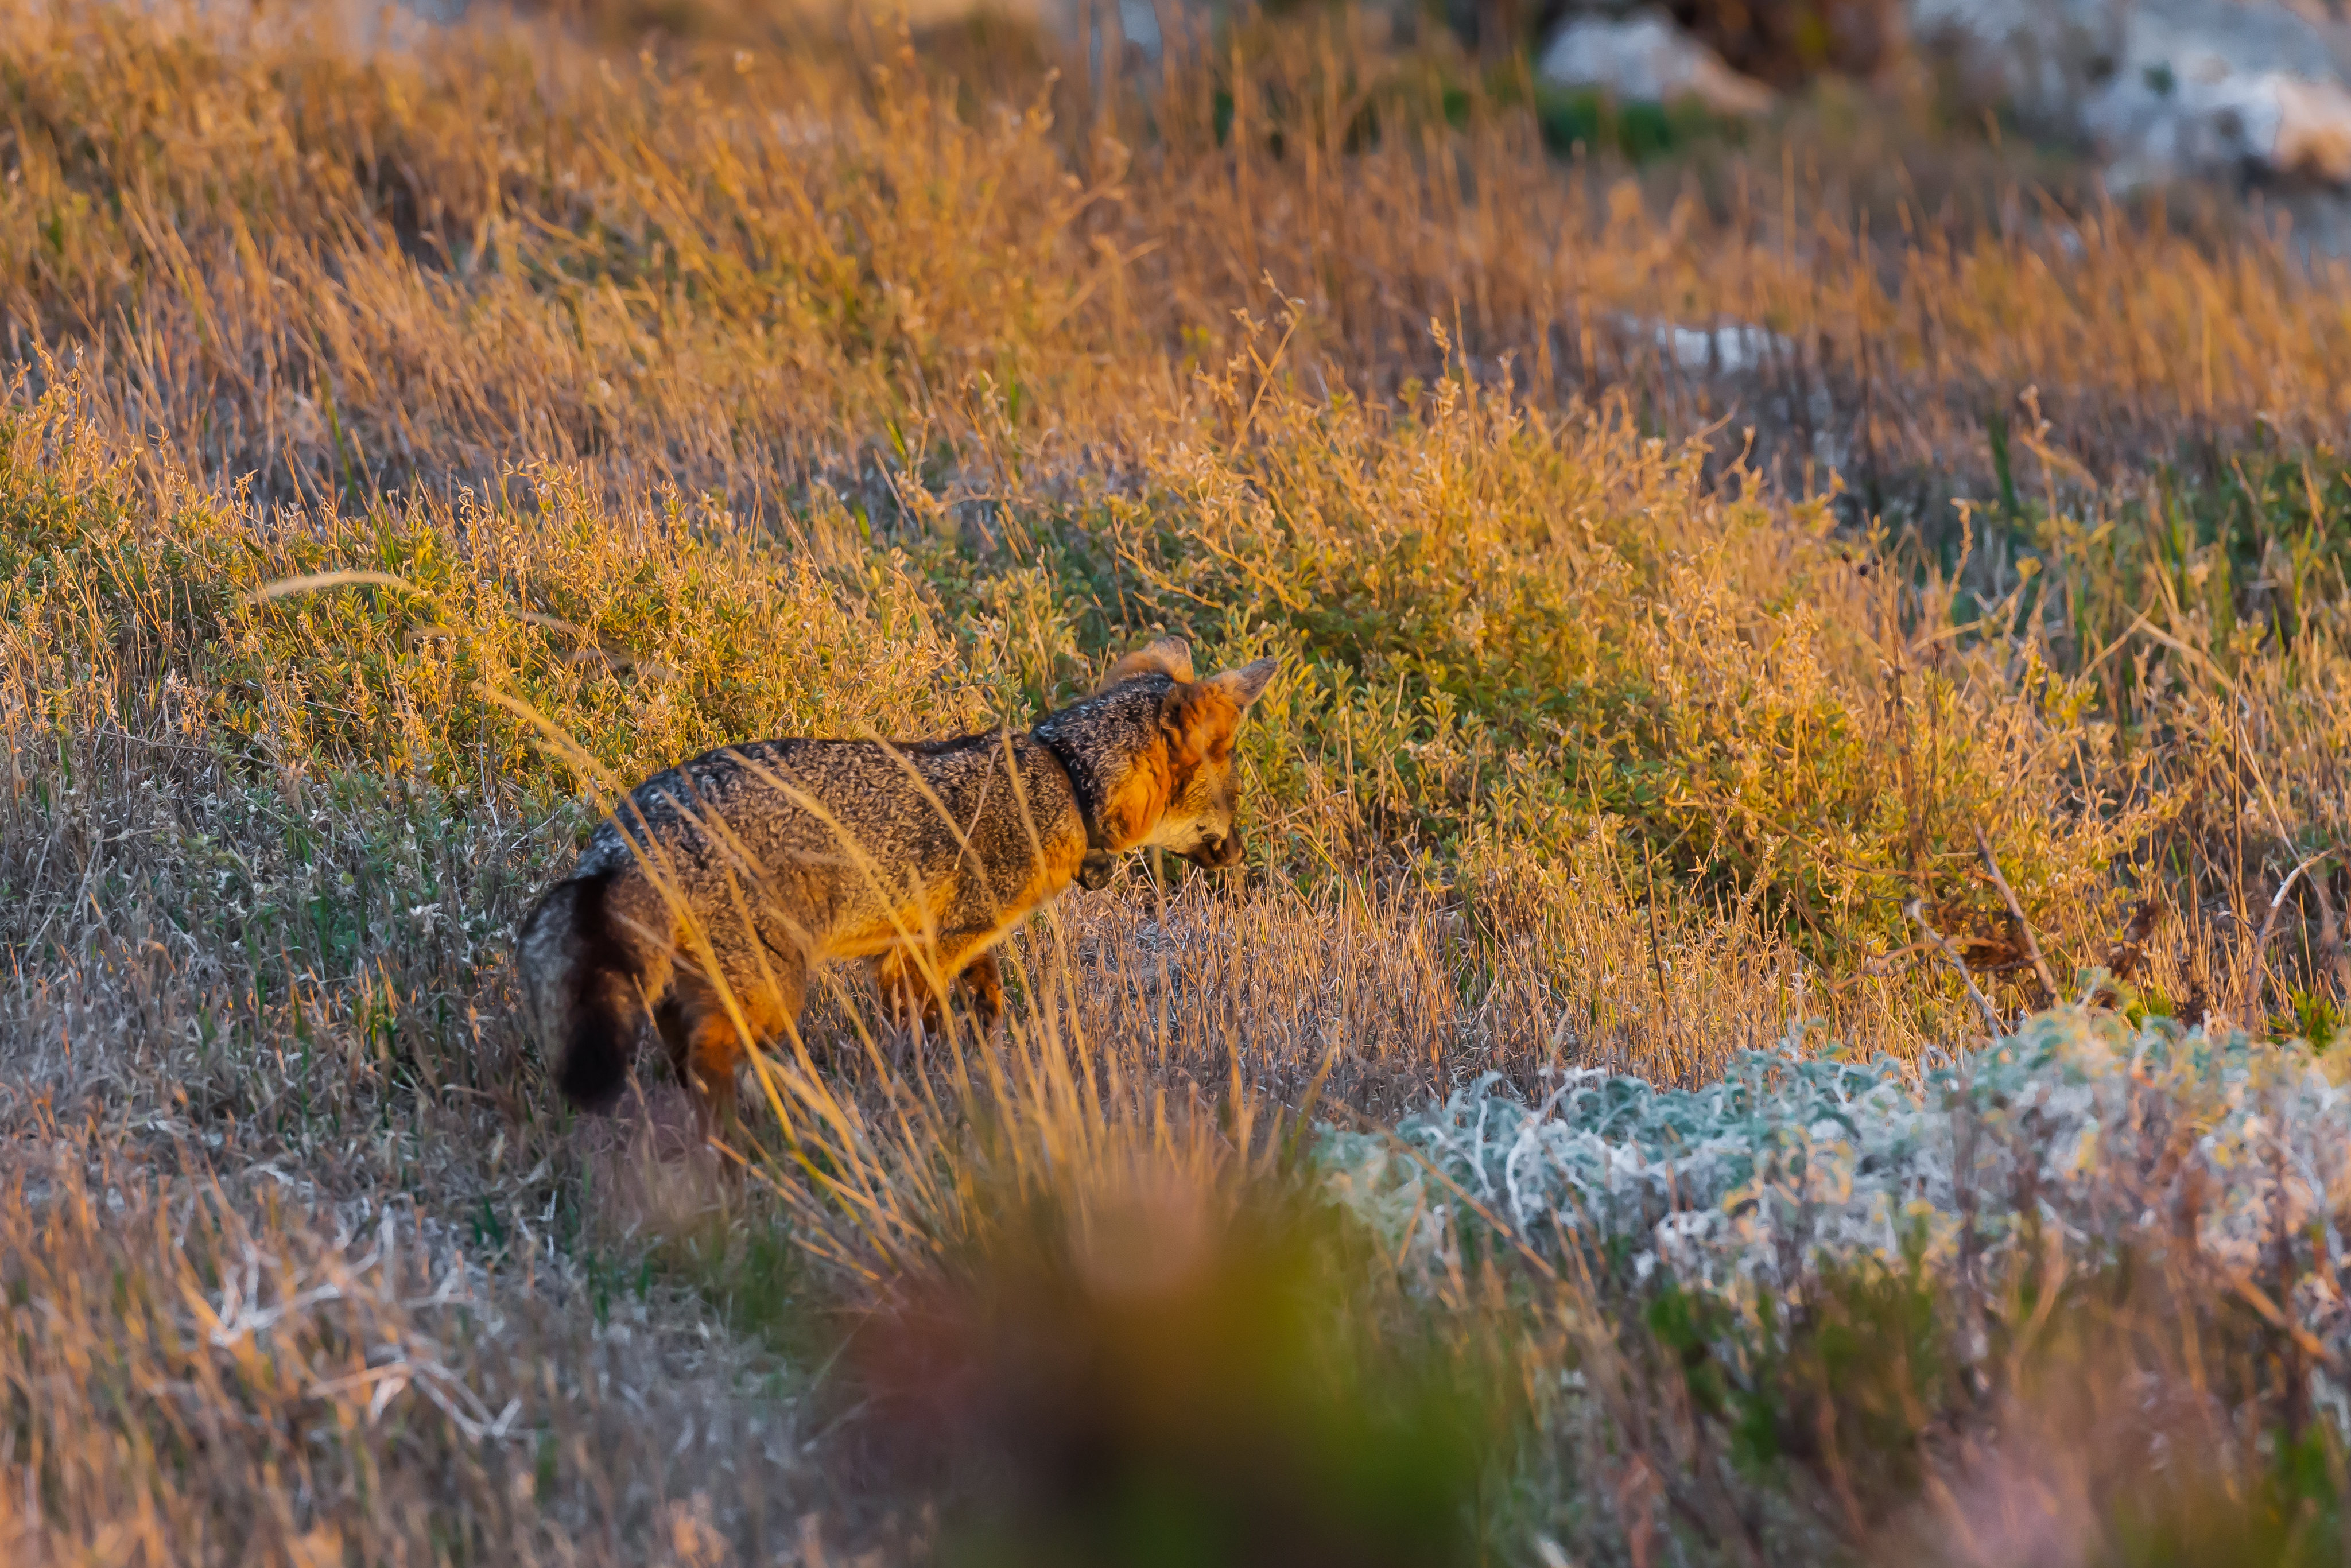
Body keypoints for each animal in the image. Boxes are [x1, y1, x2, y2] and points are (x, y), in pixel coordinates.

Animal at [515, 637, 1277, 1134]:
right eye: (1235, 793)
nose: (1242, 851)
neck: (1065, 778)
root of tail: (631, 825)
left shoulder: (956, 943)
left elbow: (989, 999)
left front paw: (987, 1055)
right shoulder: (916, 957)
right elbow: (931, 1034)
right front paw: (942, 1089)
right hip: (769, 991)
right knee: (709, 1063)